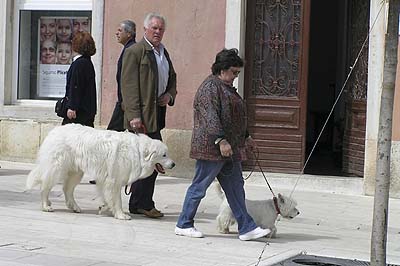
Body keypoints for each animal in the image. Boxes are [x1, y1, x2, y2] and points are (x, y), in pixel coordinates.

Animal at [25, 123, 175, 219]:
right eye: (164, 155)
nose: (173, 164)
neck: (137, 152)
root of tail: (54, 131)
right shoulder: (114, 181)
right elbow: (117, 200)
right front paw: (121, 215)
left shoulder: (107, 180)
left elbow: (107, 197)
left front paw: (105, 207)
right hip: (56, 168)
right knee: (45, 187)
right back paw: (46, 205)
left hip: (76, 173)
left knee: (67, 189)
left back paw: (75, 207)